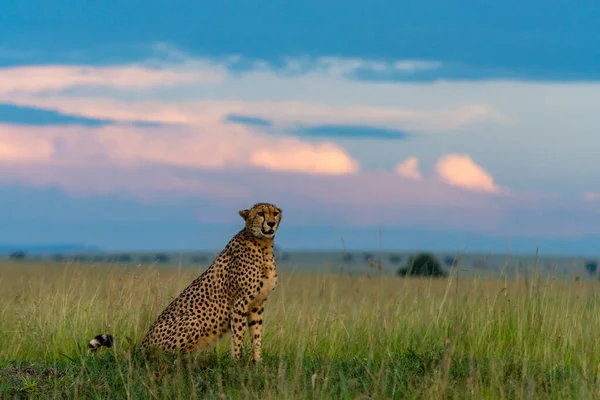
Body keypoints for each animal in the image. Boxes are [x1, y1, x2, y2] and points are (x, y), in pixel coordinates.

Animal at [90, 203, 282, 362]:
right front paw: (237, 362)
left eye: (275, 213)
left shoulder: (257, 304)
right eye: (260, 213)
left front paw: (258, 362)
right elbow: (239, 335)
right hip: (192, 321)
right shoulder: (240, 303)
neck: (263, 245)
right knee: (165, 356)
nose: (271, 223)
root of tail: (142, 347)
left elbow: (256, 335)